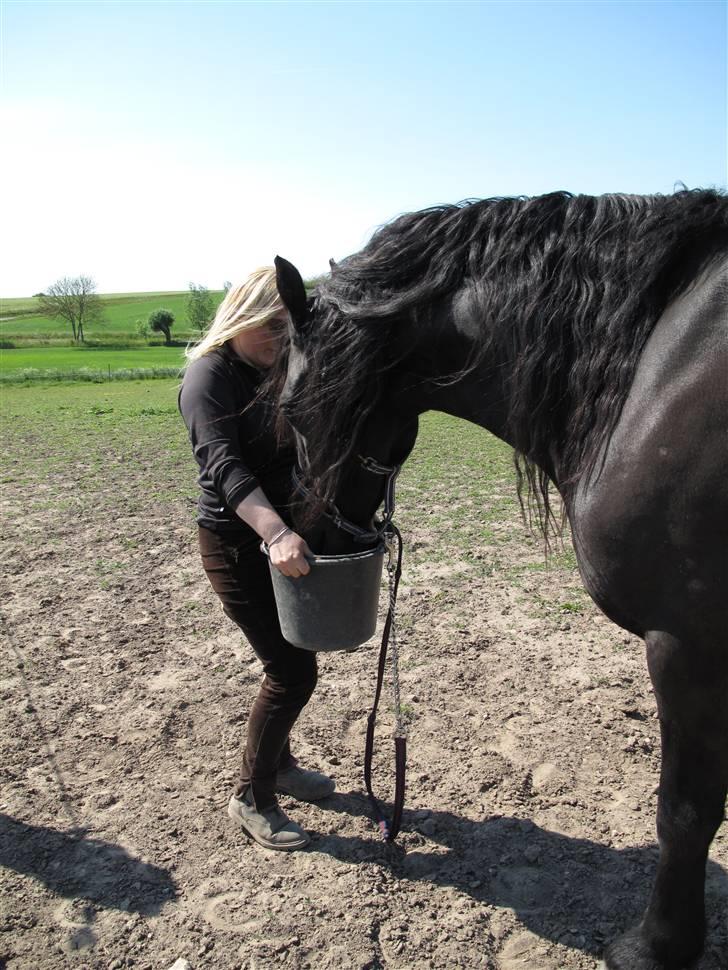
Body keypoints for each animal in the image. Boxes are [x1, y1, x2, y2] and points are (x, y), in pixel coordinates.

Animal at [272, 191, 728, 968]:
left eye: (291, 407)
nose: (316, 539)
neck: (652, 367)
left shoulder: (687, 645)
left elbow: (687, 810)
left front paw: (658, 945)